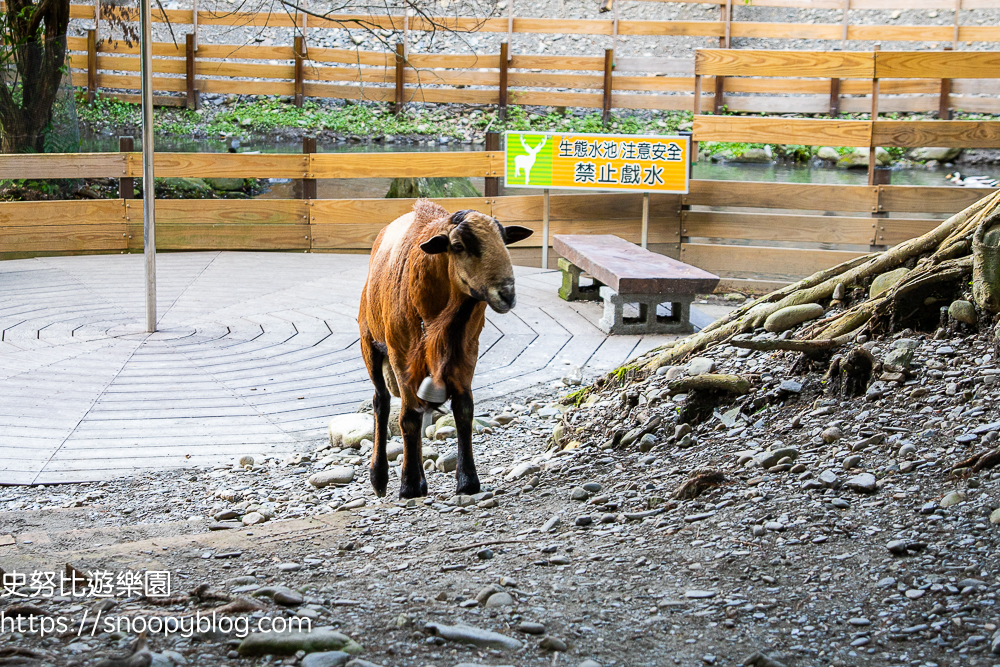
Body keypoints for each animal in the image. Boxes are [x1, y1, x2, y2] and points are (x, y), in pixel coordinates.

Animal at [358, 201, 532, 498]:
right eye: (458, 246)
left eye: (504, 240)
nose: (507, 294)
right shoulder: (402, 356)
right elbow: (408, 418)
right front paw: (409, 484)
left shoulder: (466, 352)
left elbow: (464, 411)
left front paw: (468, 480)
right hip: (370, 344)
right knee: (381, 401)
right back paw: (379, 477)